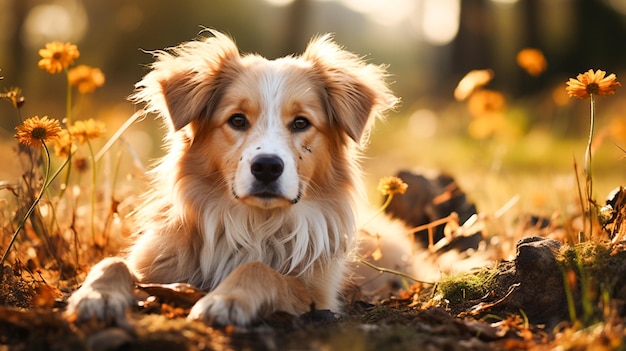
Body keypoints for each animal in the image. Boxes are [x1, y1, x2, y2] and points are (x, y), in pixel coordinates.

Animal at [66, 29, 398, 328]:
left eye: (301, 123)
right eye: (237, 120)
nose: (267, 167)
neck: (251, 223)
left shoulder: (316, 294)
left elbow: (260, 269)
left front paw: (225, 299)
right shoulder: (157, 263)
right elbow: (112, 262)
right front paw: (96, 295)